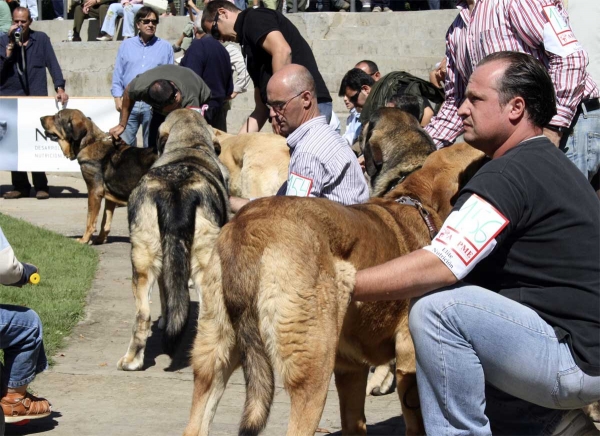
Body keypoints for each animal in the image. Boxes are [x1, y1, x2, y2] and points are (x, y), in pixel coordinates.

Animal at [40, 109, 157, 245]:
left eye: (58, 116)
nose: (40, 118)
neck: (88, 143)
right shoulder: (109, 196)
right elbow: (105, 221)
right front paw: (100, 239)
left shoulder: (94, 191)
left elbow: (90, 219)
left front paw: (84, 239)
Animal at [183, 106, 488, 436]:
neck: (420, 203)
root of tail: (248, 228)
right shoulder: (410, 360)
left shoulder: (350, 369)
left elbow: (355, 421)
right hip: (313, 372)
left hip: (214, 358)